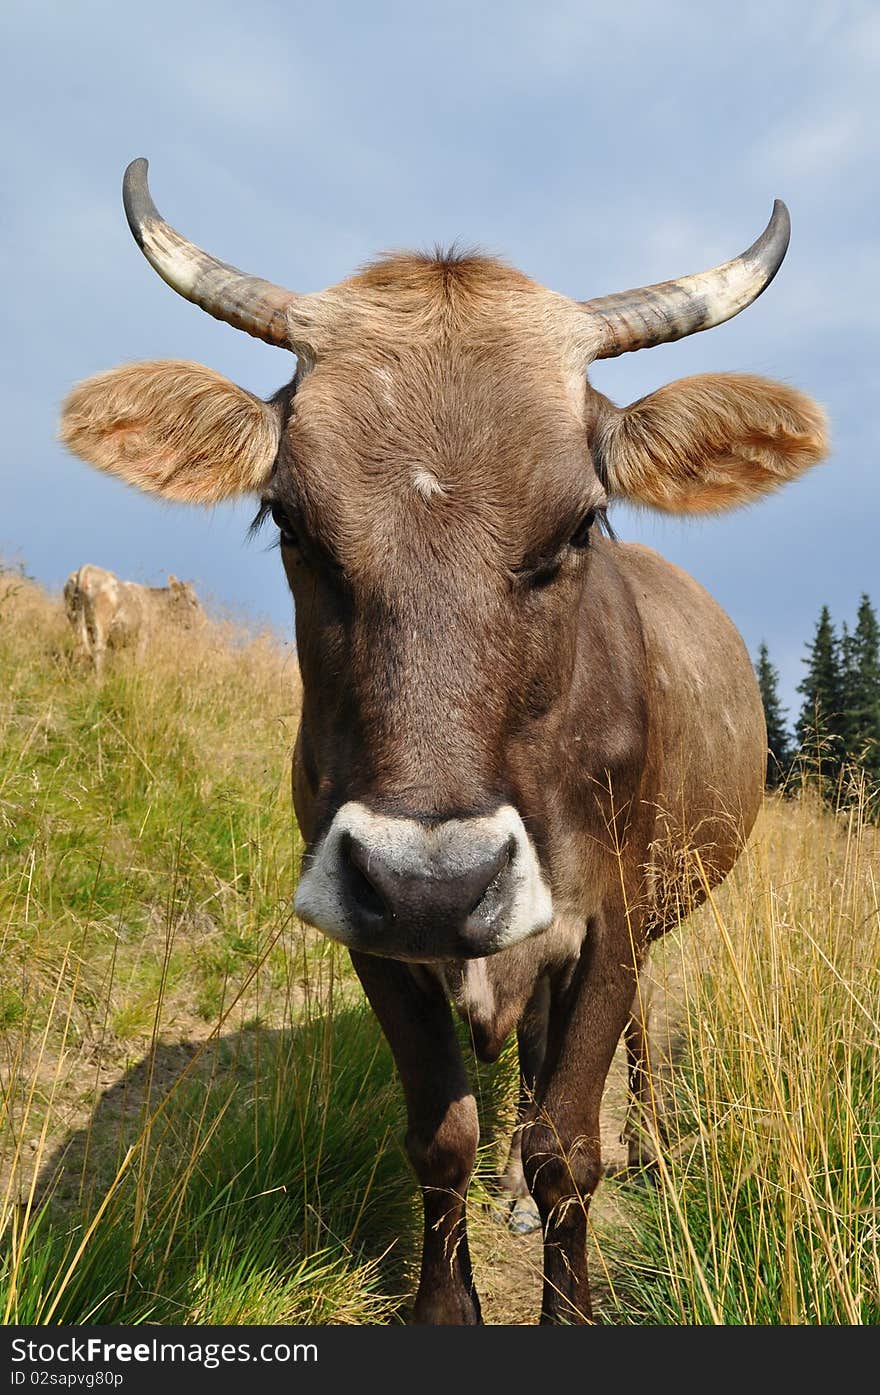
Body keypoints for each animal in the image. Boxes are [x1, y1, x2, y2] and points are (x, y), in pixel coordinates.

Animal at [64, 563, 203, 677]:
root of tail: (87, 568)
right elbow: (139, 661)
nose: (201, 623)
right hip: (102, 622)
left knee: (79, 649)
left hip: (75, 619)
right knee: (99, 650)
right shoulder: (143, 636)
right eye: (193, 602)